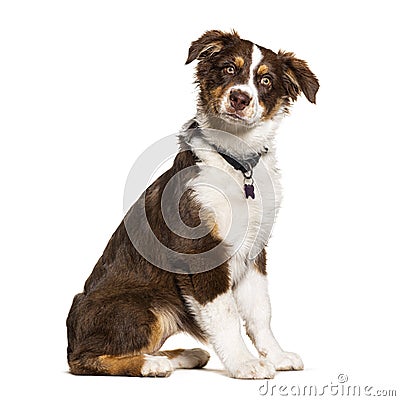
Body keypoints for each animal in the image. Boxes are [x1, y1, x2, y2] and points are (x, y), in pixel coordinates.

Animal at [67, 30, 320, 378]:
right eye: (229, 69)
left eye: (266, 80)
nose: (240, 98)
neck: (236, 161)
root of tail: (70, 334)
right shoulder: (199, 249)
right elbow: (226, 314)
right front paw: (245, 364)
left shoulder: (255, 251)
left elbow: (260, 311)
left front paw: (276, 355)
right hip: (140, 307)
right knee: (85, 359)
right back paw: (153, 364)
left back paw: (186, 355)